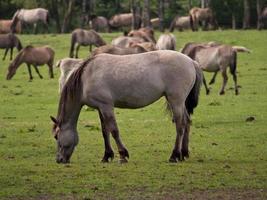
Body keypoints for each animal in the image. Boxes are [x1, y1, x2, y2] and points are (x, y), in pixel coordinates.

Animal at [49, 50, 203, 164]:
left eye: (56, 136)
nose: (59, 160)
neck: (86, 77)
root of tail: (191, 62)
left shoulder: (107, 107)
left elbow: (114, 130)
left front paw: (123, 155)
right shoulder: (100, 108)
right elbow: (105, 131)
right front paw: (107, 156)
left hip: (176, 101)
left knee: (180, 125)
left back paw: (174, 155)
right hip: (180, 103)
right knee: (187, 122)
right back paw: (183, 153)